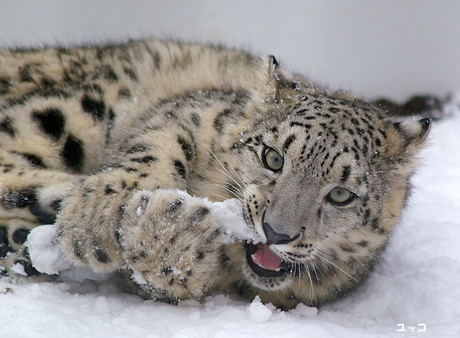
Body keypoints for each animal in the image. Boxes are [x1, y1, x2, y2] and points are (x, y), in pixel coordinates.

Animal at [0, 39, 430, 308]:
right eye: (274, 158)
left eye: (341, 194)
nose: (276, 233)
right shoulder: (191, 112)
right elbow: (157, 145)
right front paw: (101, 214)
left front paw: (176, 237)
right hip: (69, 109)